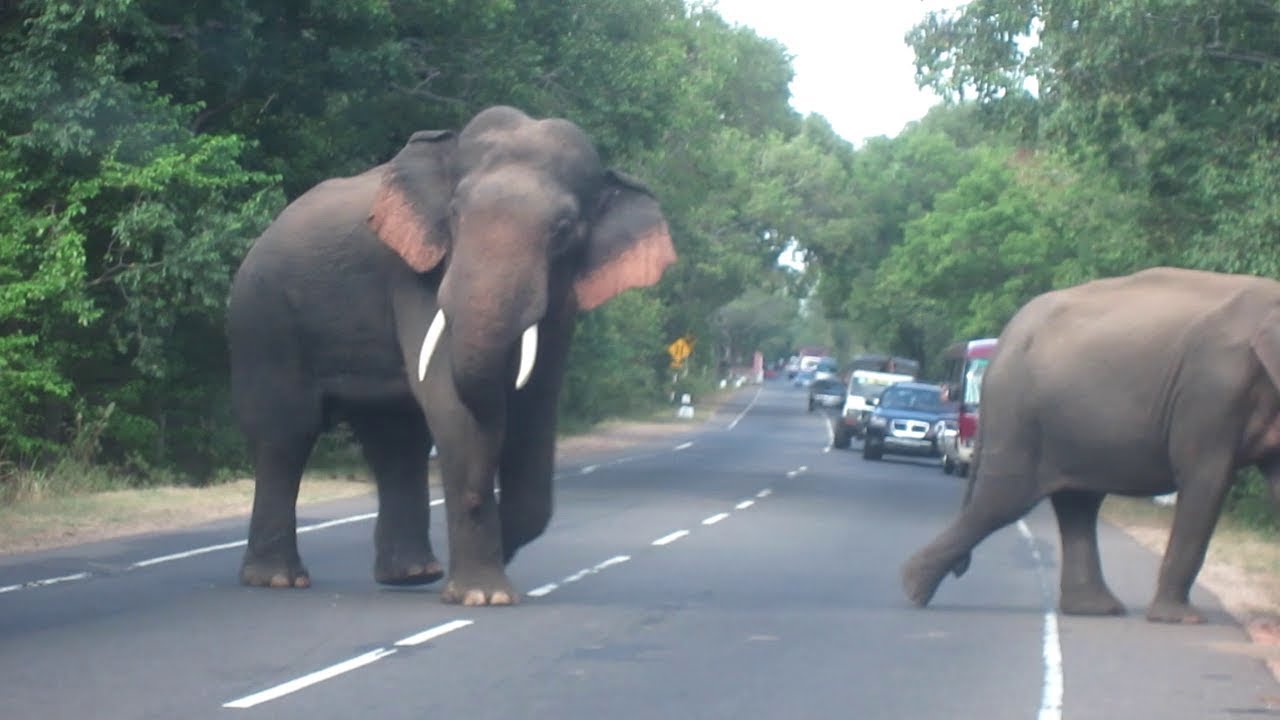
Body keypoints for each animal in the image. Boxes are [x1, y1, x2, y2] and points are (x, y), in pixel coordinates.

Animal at [227, 106, 676, 605]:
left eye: (563, 231)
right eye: (455, 213)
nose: (481, 499)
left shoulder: (563, 303)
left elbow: (536, 407)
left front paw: (493, 566)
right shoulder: (416, 274)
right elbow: (451, 405)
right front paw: (484, 596)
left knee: (395, 440)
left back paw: (412, 575)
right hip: (263, 322)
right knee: (285, 433)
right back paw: (278, 580)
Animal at [901, 267, 1280, 623]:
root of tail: (1006, 336)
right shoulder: (1213, 389)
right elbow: (1207, 480)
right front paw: (1181, 619)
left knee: (1077, 502)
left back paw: (1095, 608)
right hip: (1019, 415)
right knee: (1004, 500)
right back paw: (913, 589)